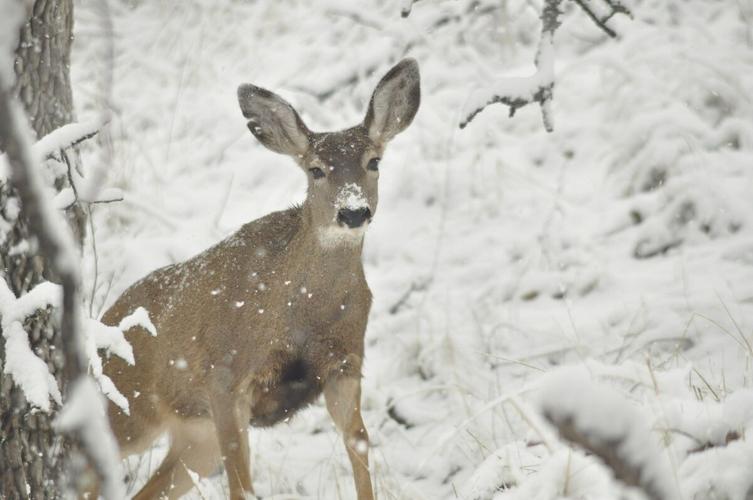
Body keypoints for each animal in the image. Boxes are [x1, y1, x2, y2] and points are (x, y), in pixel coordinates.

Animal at [98, 58, 420, 500]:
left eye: (374, 161)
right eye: (315, 170)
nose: (353, 211)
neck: (301, 314)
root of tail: (103, 322)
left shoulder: (344, 363)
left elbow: (358, 442)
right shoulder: (224, 375)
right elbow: (241, 483)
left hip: (195, 435)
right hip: (128, 407)